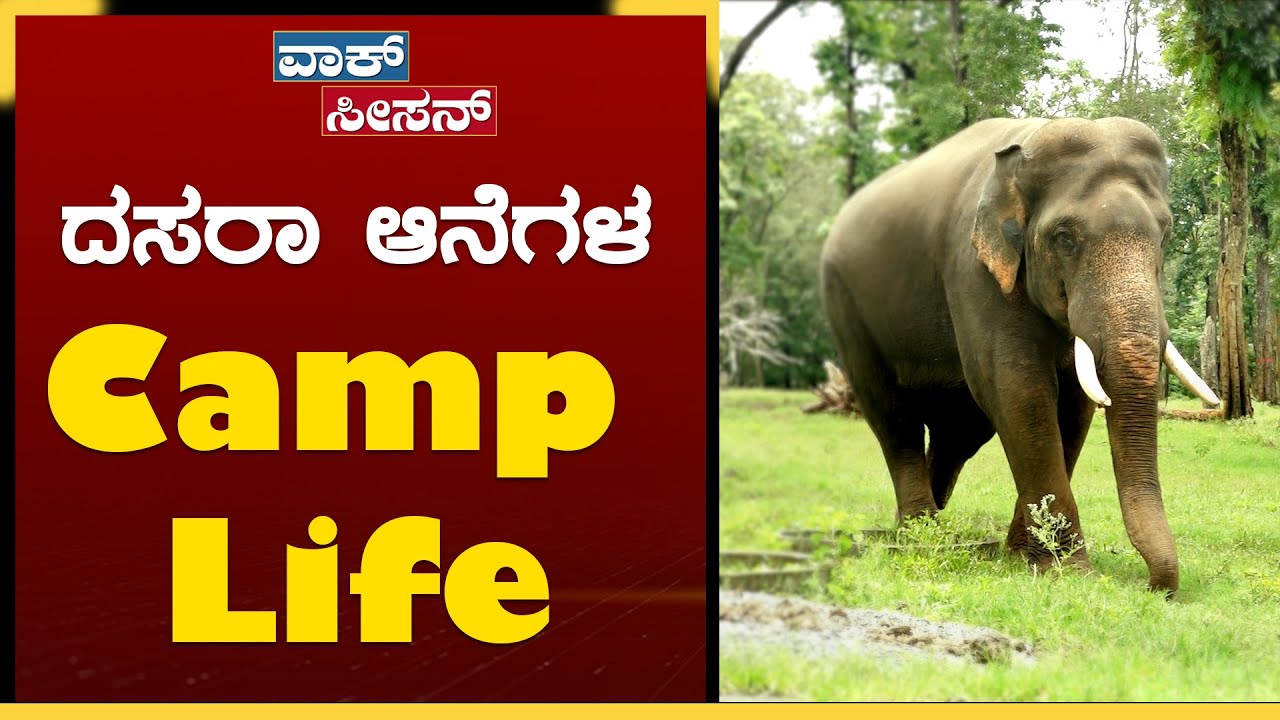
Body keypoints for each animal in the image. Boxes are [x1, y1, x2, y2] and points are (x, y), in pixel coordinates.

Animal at [819, 116, 1219, 594]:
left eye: (1166, 234)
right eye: (1064, 238)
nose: (1154, 588)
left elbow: (1074, 404)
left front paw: (1021, 556)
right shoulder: (973, 269)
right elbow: (1018, 389)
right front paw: (1064, 569)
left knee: (960, 431)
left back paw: (920, 528)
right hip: (847, 308)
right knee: (893, 416)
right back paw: (919, 532)